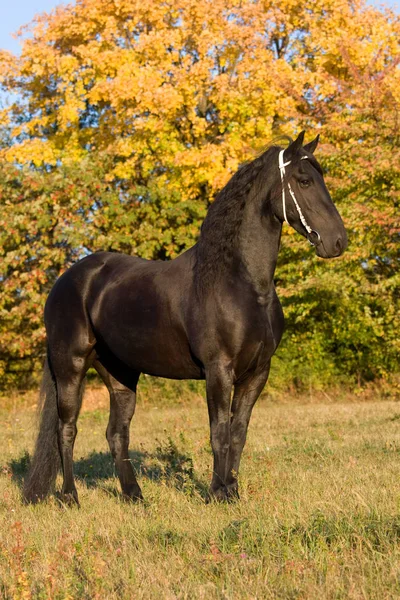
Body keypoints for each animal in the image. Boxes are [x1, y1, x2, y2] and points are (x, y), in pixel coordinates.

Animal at [23, 132, 346, 506]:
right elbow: (219, 432)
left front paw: (233, 492)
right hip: (70, 366)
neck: (241, 283)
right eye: (304, 180)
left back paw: (135, 496)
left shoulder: (256, 374)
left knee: (116, 433)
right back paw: (70, 497)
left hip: (120, 375)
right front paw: (217, 494)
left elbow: (238, 434)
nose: (338, 241)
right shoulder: (219, 370)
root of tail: (65, 281)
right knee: (66, 429)